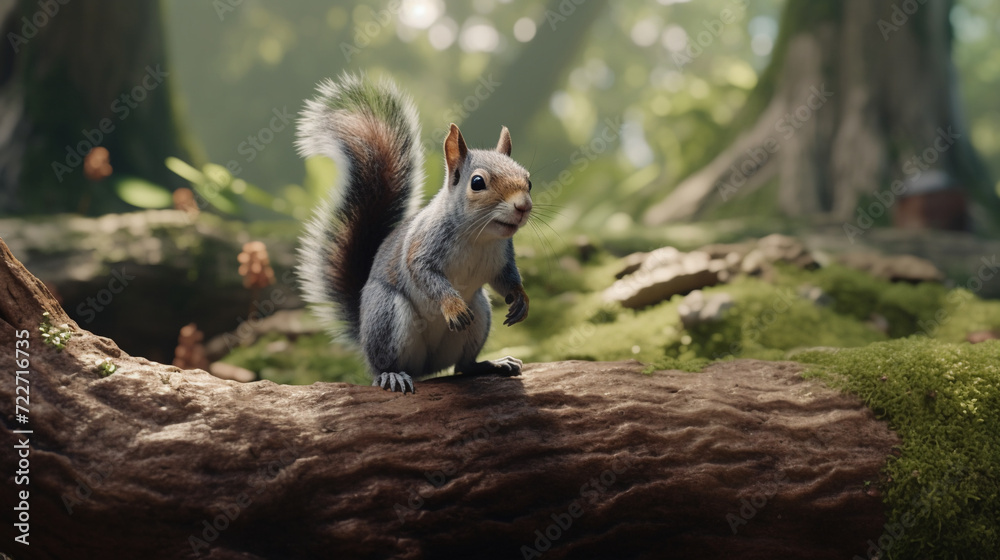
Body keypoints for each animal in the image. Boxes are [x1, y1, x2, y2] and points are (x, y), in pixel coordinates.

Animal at [295, 73, 532, 394]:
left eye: (528, 180)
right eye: (477, 182)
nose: (523, 207)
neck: (478, 237)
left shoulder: (503, 258)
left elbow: (507, 280)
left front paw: (521, 299)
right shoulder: (422, 247)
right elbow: (425, 275)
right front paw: (452, 307)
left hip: (480, 314)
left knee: (463, 366)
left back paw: (491, 365)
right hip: (387, 315)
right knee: (383, 366)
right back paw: (391, 375)